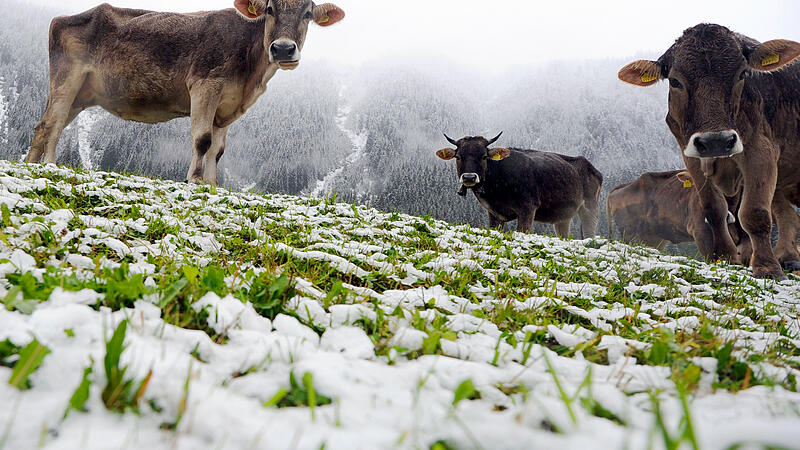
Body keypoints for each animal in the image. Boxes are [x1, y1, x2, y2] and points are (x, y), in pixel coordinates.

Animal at [24, 0, 344, 185]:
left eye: (307, 14)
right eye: (269, 9)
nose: (283, 49)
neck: (251, 76)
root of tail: (64, 17)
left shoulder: (227, 107)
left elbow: (218, 150)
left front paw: (213, 185)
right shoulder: (205, 84)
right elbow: (202, 140)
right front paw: (194, 180)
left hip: (81, 94)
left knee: (42, 125)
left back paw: (30, 166)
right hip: (68, 78)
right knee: (53, 123)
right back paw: (51, 165)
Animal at [434, 134, 604, 237]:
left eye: (483, 156)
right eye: (458, 157)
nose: (469, 177)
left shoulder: (528, 208)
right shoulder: (494, 213)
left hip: (590, 208)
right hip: (563, 216)